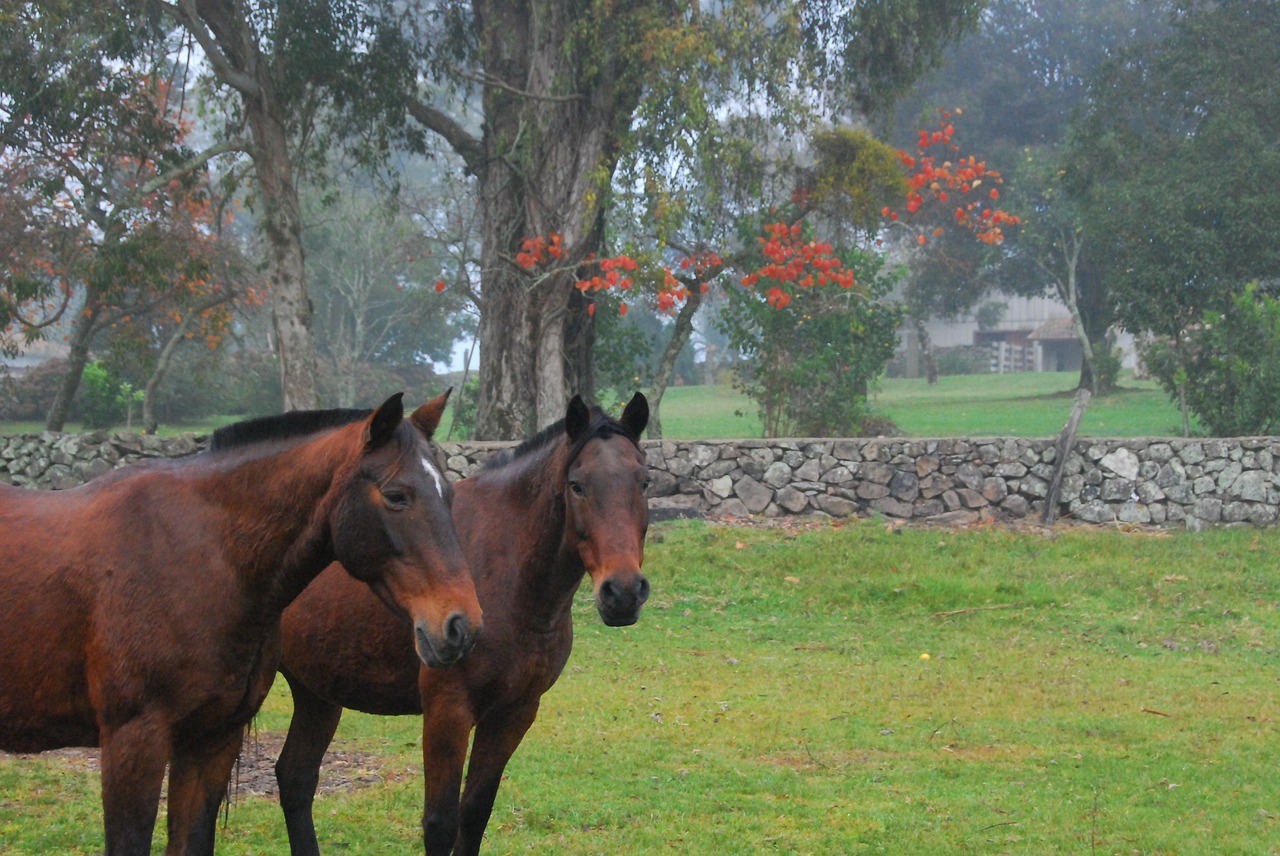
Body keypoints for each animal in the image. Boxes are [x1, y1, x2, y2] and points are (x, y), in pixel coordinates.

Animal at [0, 391, 481, 849]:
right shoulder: (132, 743)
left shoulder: (211, 741)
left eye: (451, 496)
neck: (199, 556)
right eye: (397, 495)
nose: (463, 626)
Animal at [272, 391, 650, 849]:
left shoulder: (514, 713)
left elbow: (475, 813)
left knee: (295, 779)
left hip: (317, 692)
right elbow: (440, 823)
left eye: (644, 482)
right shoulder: (447, 711)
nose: (624, 592)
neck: (508, 577)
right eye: (577, 485)